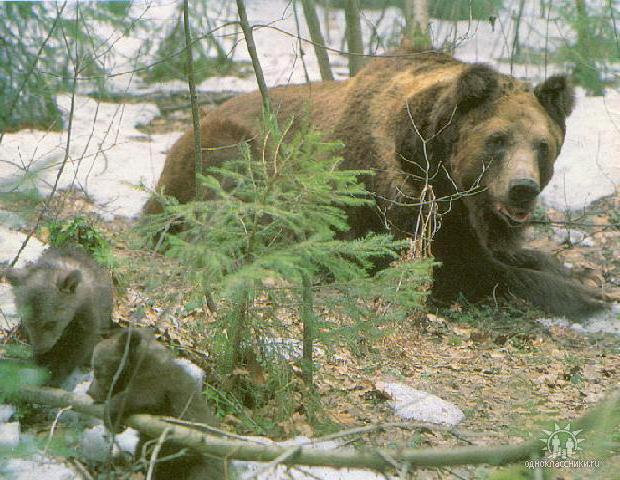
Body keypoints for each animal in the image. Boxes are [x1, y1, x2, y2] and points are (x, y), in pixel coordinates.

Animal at [144, 49, 600, 318]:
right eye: (497, 139)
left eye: (542, 144)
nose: (522, 187)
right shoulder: (403, 201)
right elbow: (463, 268)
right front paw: (586, 296)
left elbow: (511, 254)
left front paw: (574, 275)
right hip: (233, 148)